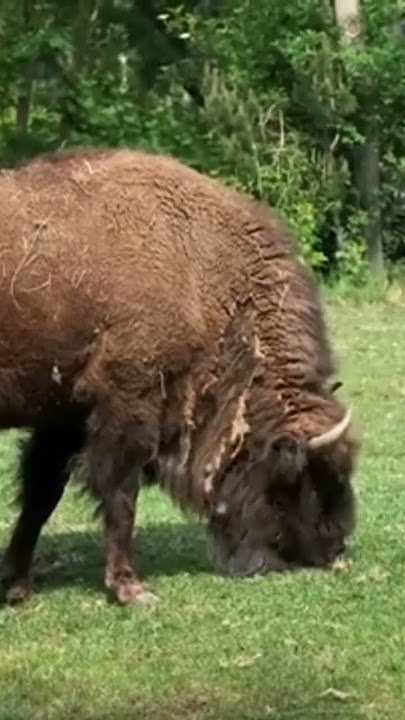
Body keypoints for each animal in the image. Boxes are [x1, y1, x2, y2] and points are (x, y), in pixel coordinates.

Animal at [0, 148, 360, 608]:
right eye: (312, 478)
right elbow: (120, 497)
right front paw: (132, 589)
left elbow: (41, 494)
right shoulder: (128, 406)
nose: (335, 547)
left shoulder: (66, 414)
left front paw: (16, 585)